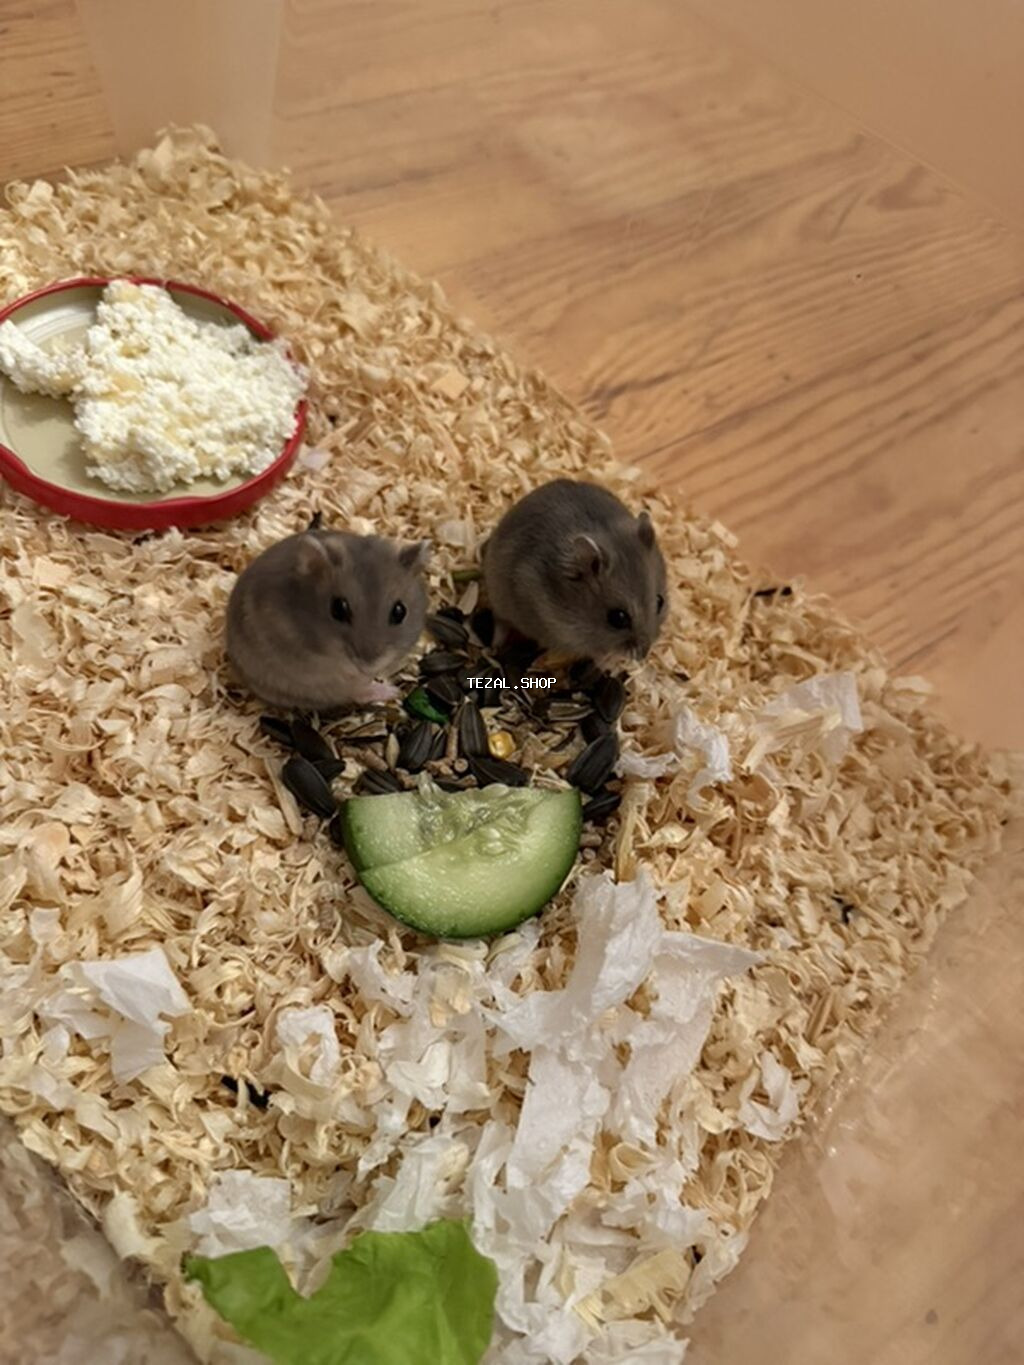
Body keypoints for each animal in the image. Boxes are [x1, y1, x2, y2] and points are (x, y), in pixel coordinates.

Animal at [482, 479, 667, 662]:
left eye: (660, 602)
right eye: (618, 618)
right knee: (500, 622)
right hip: (497, 593)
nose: (643, 656)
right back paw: (493, 649)